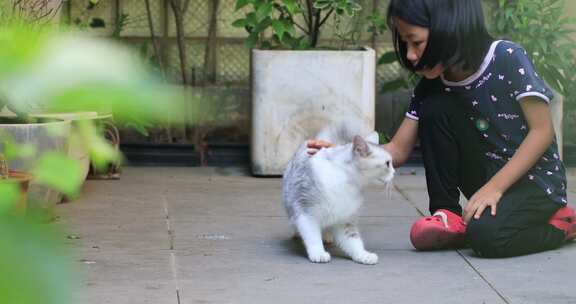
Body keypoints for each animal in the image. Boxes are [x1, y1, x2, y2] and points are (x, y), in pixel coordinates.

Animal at [282, 123, 394, 264]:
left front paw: (363, 255)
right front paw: (318, 253)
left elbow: (354, 241)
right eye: (387, 163)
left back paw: (327, 236)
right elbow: (312, 235)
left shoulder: (345, 220)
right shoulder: (306, 212)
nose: (394, 172)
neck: (346, 180)